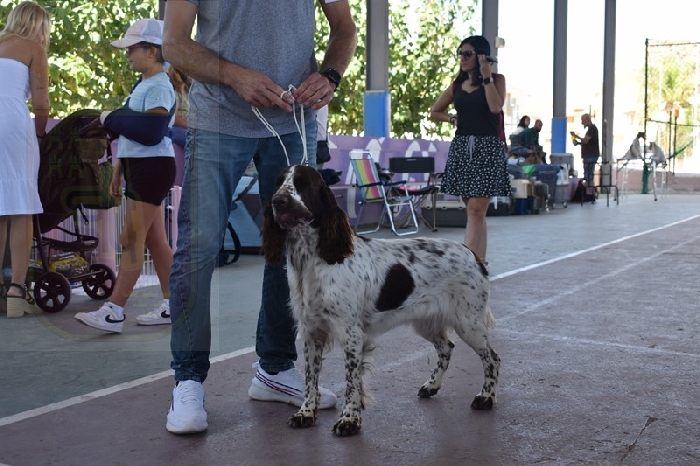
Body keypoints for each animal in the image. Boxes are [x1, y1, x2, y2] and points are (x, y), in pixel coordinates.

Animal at [261, 165, 500, 437]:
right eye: (278, 183)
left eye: (302, 183)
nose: (277, 201)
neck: (311, 261)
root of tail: (473, 255)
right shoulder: (312, 332)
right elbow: (311, 378)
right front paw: (306, 413)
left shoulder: (351, 334)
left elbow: (352, 381)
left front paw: (349, 420)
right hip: (428, 323)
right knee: (447, 348)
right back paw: (431, 386)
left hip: (468, 322)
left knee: (492, 358)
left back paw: (486, 398)